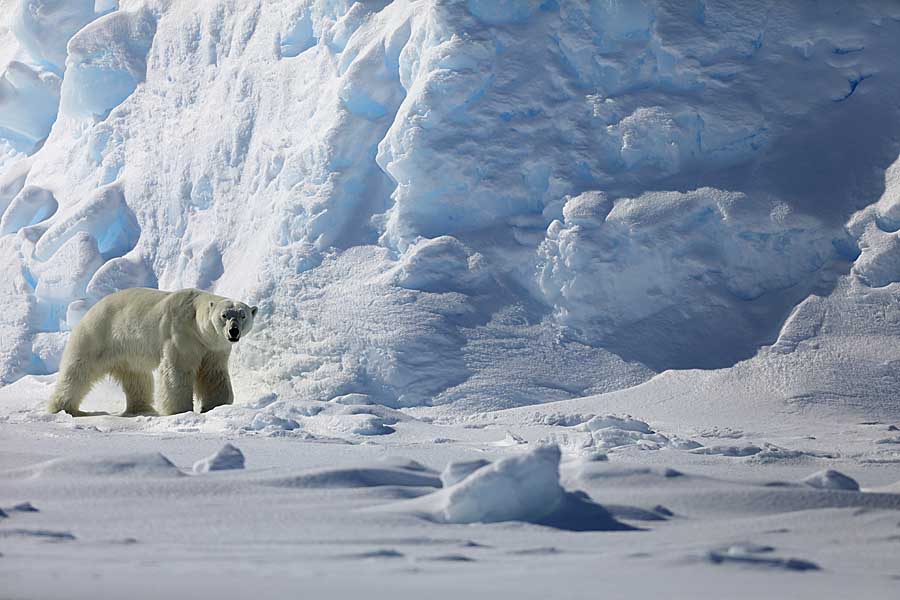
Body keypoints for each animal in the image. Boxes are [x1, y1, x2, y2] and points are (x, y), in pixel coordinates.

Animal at [47, 288, 256, 414]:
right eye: (224, 315)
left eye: (243, 315)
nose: (233, 331)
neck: (195, 321)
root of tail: (90, 309)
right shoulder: (181, 335)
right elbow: (177, 370)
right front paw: (179, 410)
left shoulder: (214, 347)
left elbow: (213, 374)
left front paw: (216, 406)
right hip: (97, 335)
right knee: (78, 371)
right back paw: (63, 407)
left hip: (127, 354)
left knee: (137, 378)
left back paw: (141, 407)